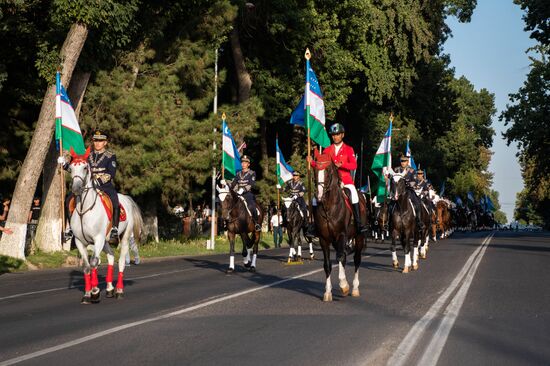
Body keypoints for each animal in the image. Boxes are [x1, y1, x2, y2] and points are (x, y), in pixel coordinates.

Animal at [68, 147, 144, 304]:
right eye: (70, 168)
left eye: (85, 168)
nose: (76, 189)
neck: (84, 209)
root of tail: (126, 198)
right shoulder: (80, 242)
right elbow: (87, 267)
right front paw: (87, 294)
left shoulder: (97, 239)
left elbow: (94, 262)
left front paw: (95, 291)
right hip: (106, 240)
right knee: (111, 257)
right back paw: (109, 289)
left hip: (124, 237)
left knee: (121, 262)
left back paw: (119, 290)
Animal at [312, 154, 368, 300]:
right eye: (315, 170)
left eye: (327, 171)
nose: (319, 195)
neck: (328, 206)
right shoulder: (324, 239)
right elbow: (328, 264)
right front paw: (327, 292)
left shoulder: (341, 235)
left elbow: (340, 257)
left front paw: (343, 285)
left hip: (359, 237)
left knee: (356, 259)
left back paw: (354, 288)